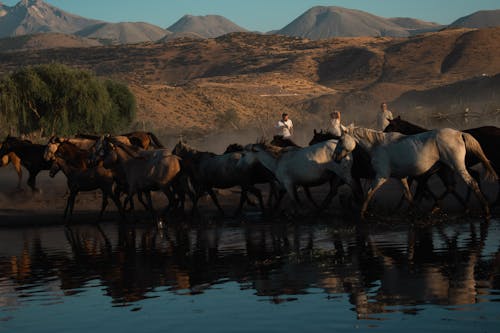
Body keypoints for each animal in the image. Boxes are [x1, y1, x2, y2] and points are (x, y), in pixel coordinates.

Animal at [332, 126, 496, 219]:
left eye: (340, 140)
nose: (334, 157)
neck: (377, 145)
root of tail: (459, 133)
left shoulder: (381, 176)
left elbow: (369, 193)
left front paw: (361, 215)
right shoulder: (401, 178)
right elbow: (408, 196)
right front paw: (415, 213)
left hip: (457, 167)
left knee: (472, 183)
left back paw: (486, 210)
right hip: (447, 169)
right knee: (453, 186)